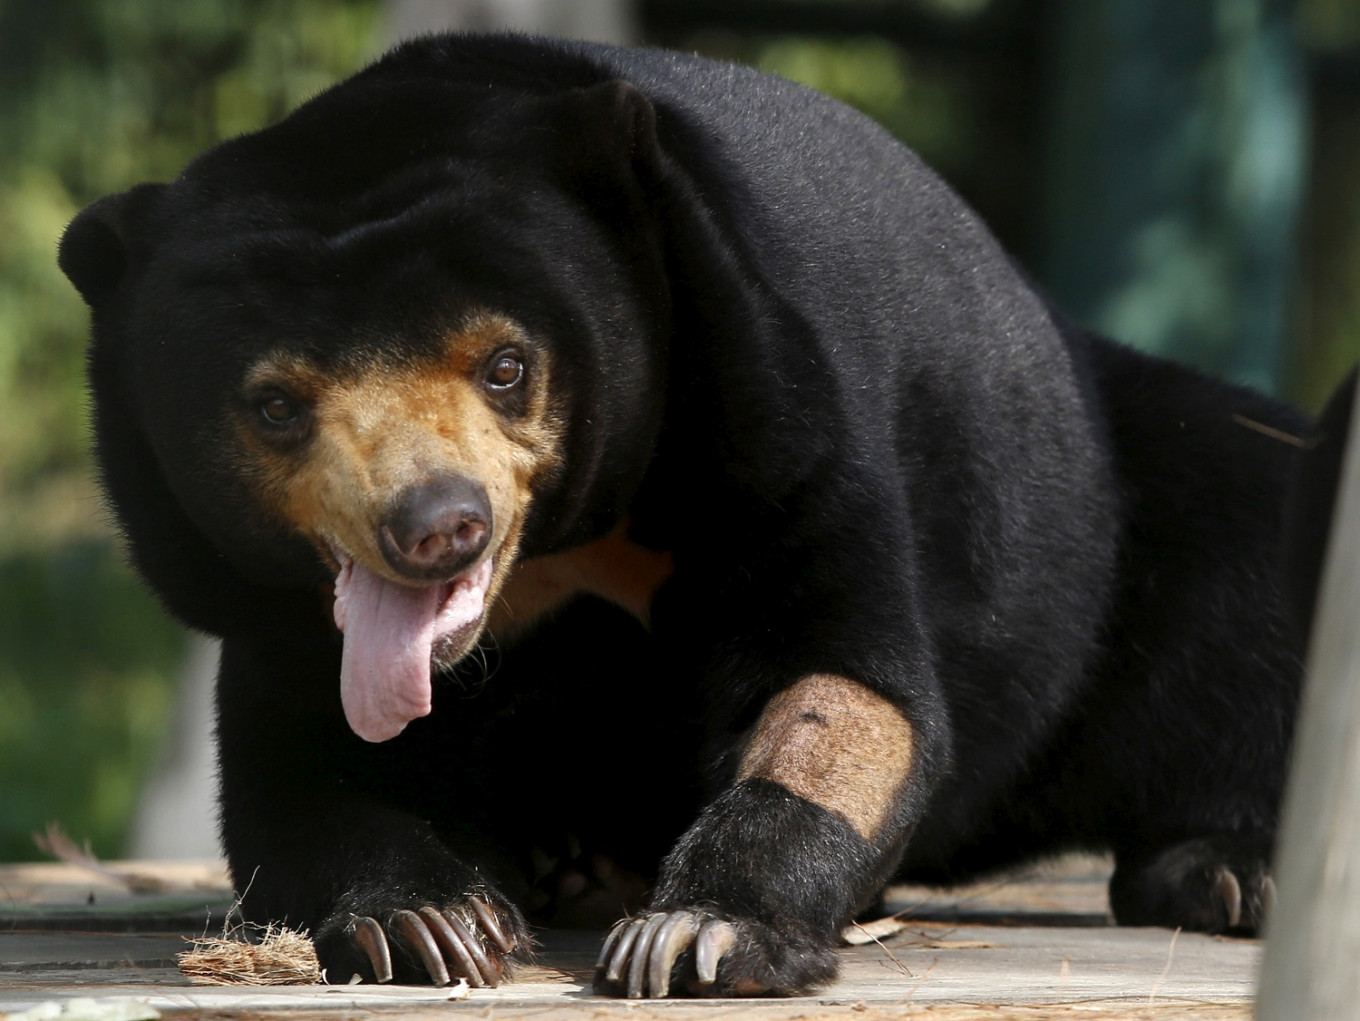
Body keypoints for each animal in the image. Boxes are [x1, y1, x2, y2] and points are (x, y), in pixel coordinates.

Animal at [58, 33, 1300, 1000]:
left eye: (506, 366)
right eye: (275, 405)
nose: (438, 525)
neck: (556, 561)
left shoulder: (774, 409)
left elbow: (844, 686)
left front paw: (697, 932)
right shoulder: (270, 612)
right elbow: (300, 774)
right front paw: (428, 919)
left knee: (1254, 541)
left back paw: (1228, 865)